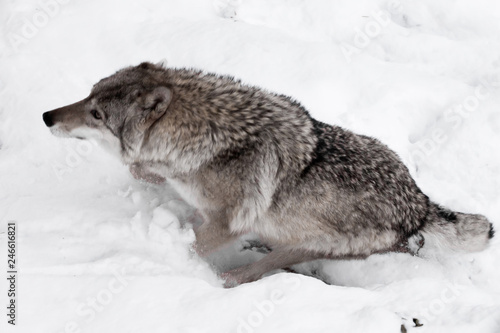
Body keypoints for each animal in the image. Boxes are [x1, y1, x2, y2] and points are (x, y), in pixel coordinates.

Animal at [41, 61, 494, 286]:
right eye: (88, 95)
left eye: (97, 114)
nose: (46, 116)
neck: (209, 136)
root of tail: (419, 202)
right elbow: (141, 170)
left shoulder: (228, 223)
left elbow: (196, 244)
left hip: (309, 244)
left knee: (261, 269)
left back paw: (230, 277)